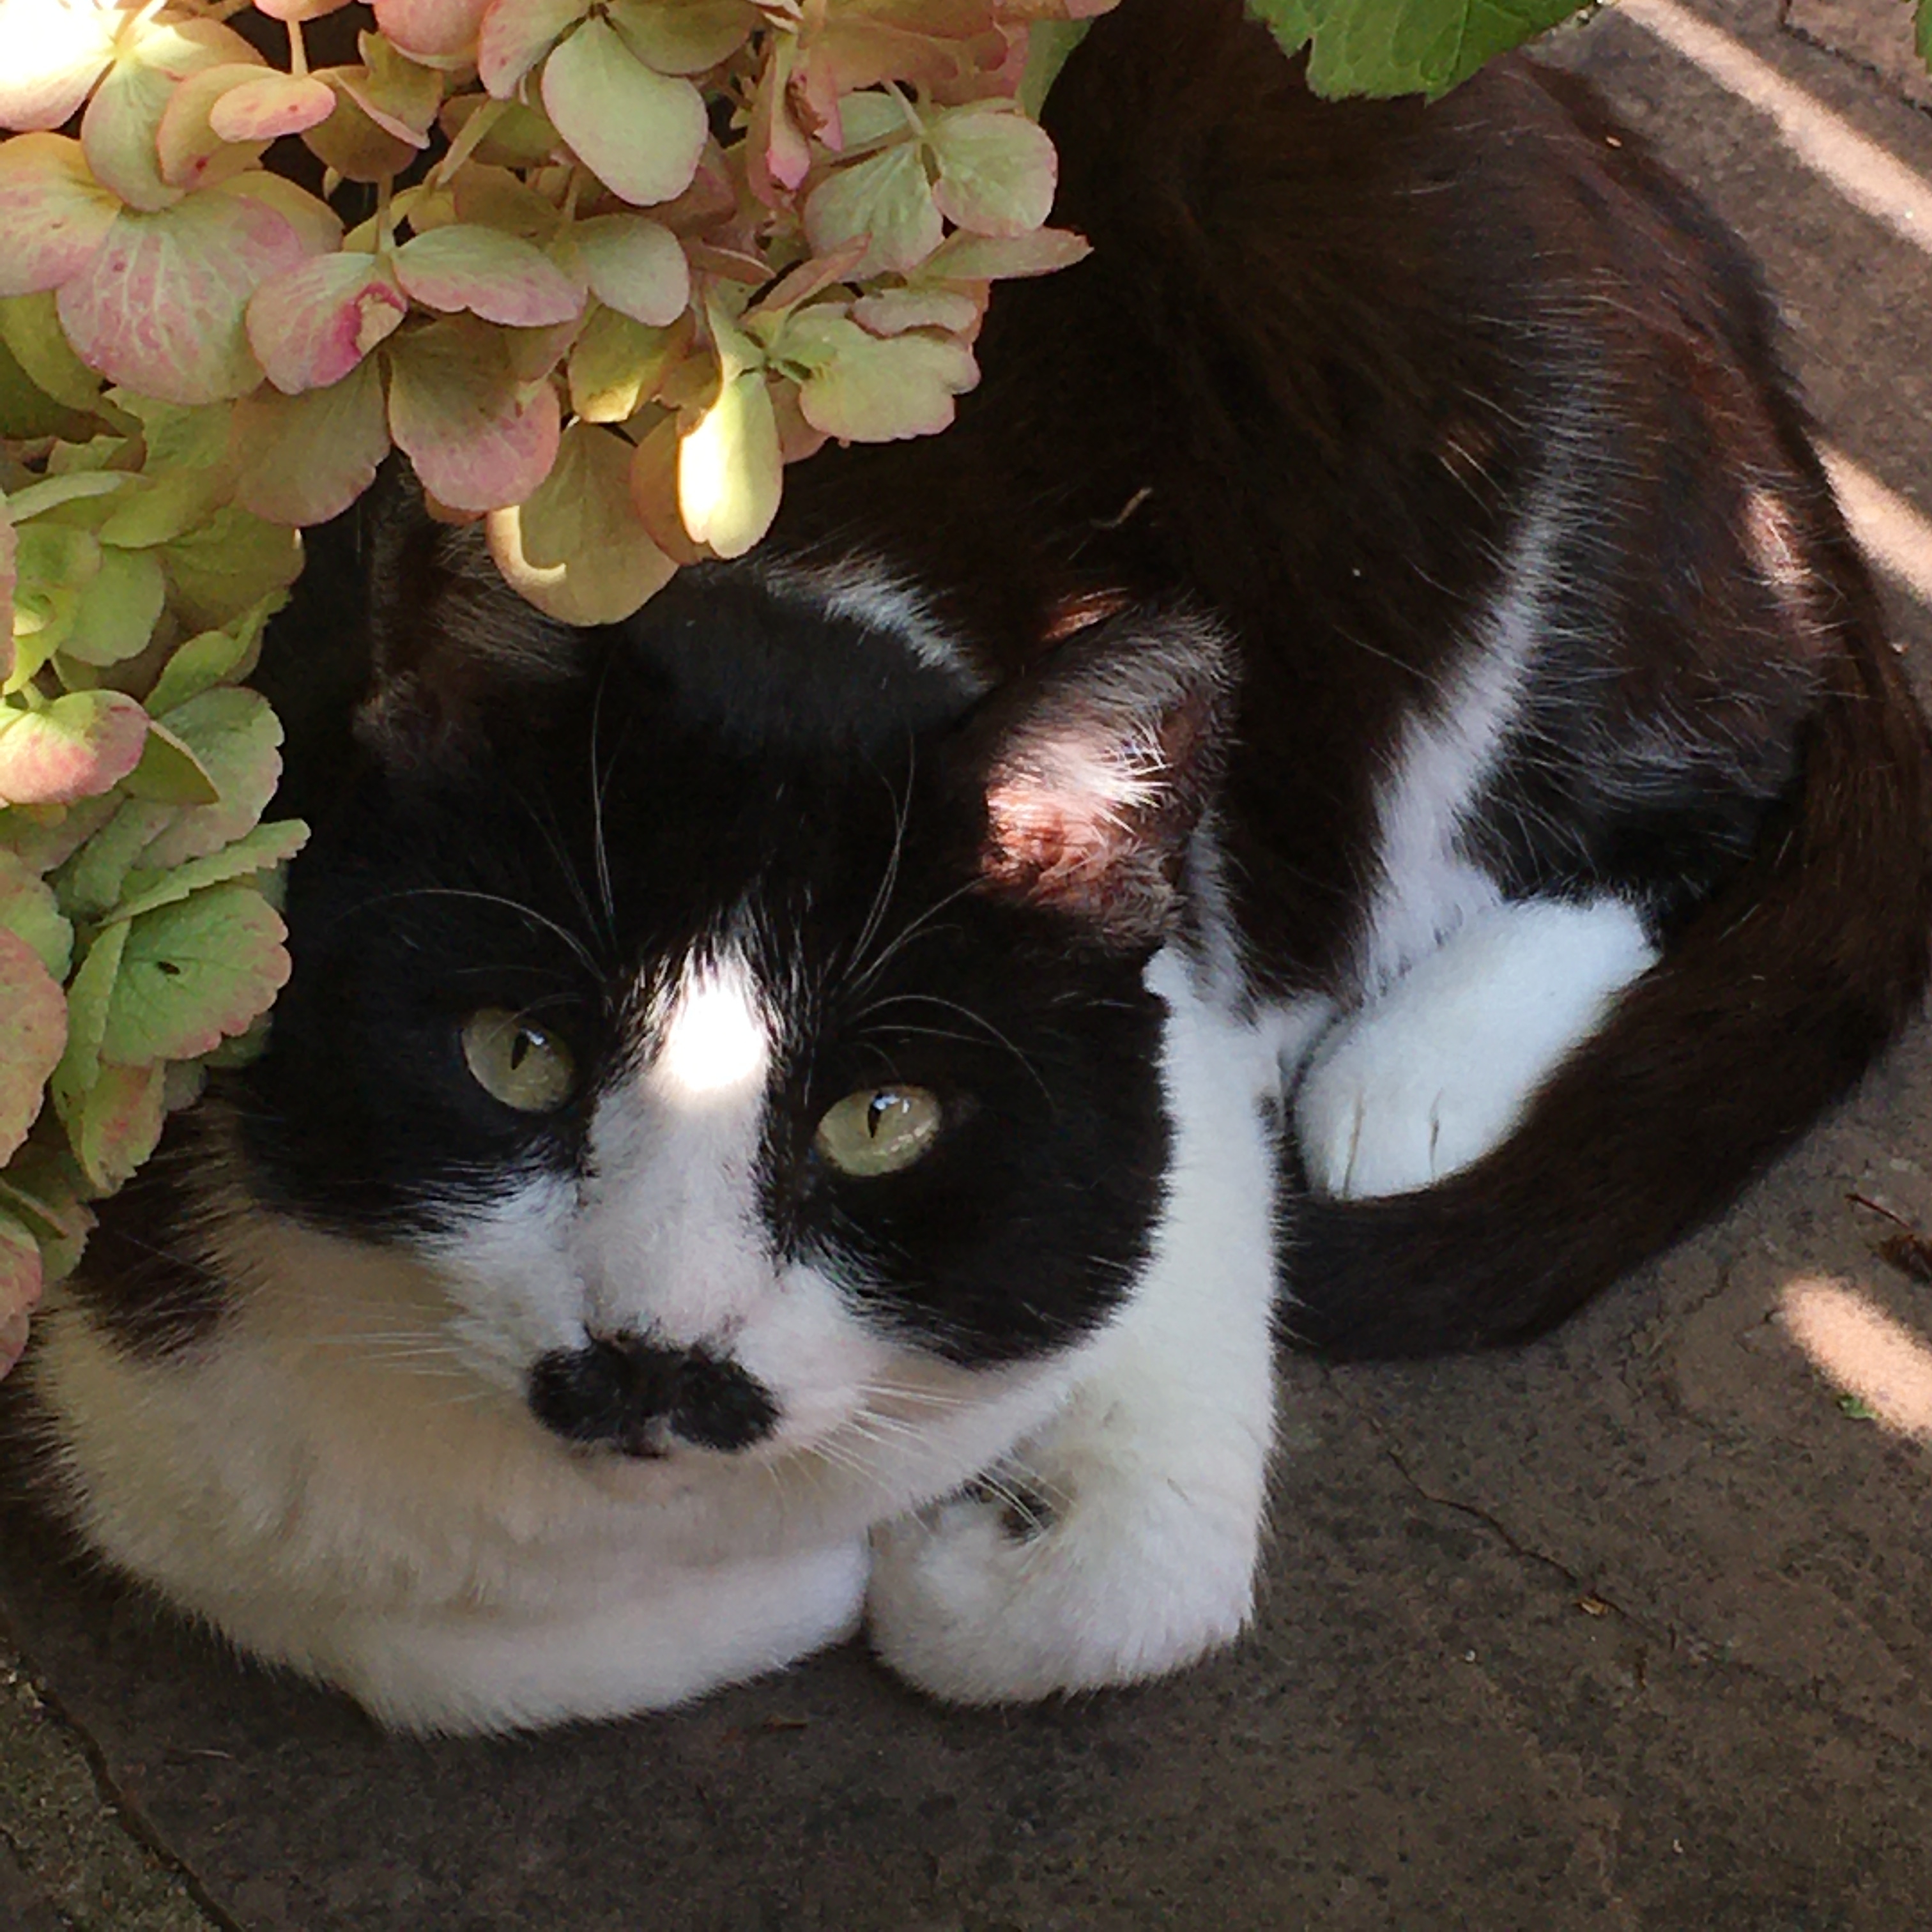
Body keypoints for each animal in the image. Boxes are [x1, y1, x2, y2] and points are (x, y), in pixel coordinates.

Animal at [19, 0, 1932, 1738]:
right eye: (517, 1055)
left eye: (882, 1119)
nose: (655, 1361)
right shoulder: (127, 1363)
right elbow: (411, 1637)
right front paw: (821, 1564)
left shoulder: (1163, 1053)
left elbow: (1132, 1572)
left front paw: (940, 1553)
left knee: (1694, 773)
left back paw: (1412, 1076)